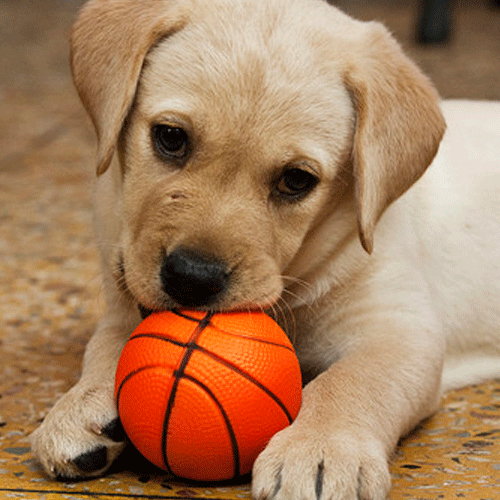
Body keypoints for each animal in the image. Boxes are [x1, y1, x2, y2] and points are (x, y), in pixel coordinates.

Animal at [31, 0, 500, 500]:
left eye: (296, 180)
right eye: (171, 137)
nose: (192, 278)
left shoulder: (400, 327)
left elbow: (351, 380)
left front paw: (320, 450)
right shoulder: (123, 286)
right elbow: (108, 344)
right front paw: (81, 406)